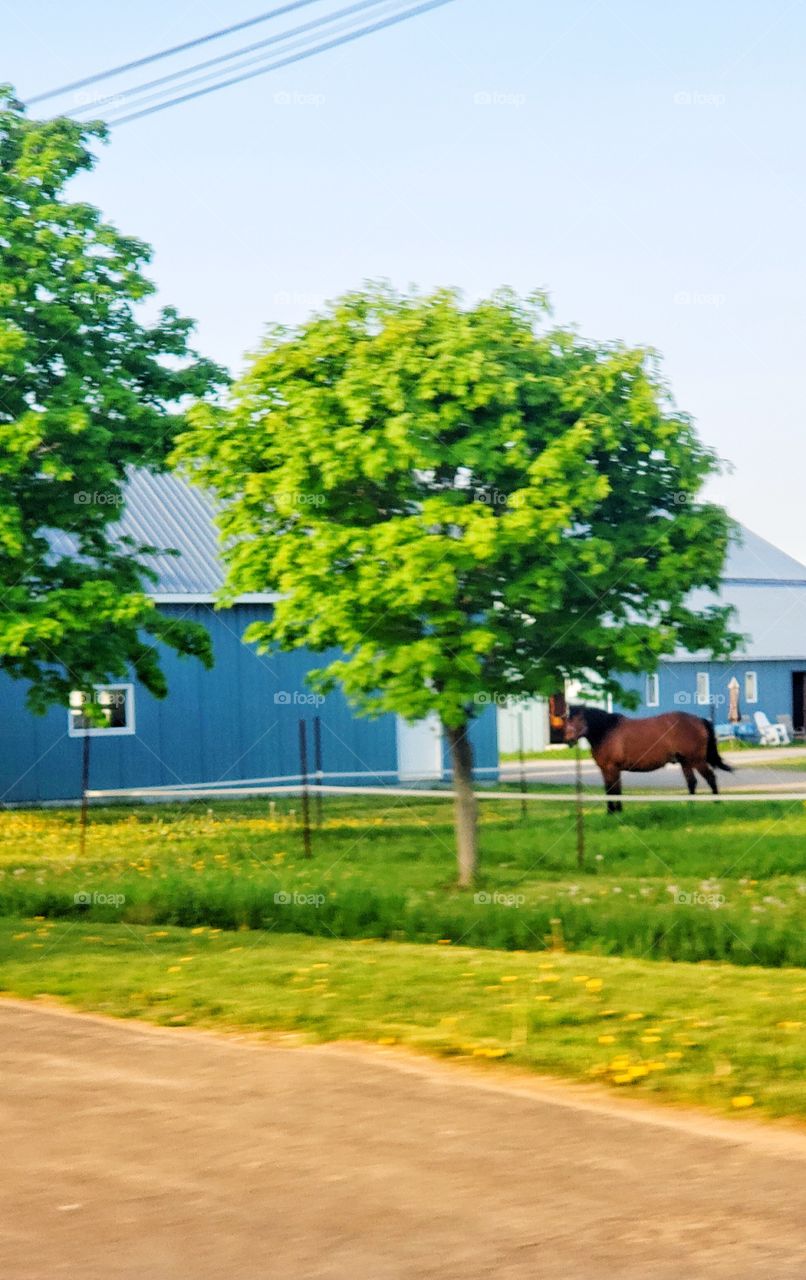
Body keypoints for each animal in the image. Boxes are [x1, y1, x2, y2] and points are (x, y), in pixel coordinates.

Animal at [564, 705, 733, 813]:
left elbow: (614, 790)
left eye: (580, 719)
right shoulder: (606, 769)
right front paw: (613, 812)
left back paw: (717, 804)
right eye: (568, 719)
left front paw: (614, 812)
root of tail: (699, 720)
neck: (606, 730)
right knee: (692, 782)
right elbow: (611, 789)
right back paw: (691, 806)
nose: (568, 739)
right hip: (685, 762)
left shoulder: (612, 768)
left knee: (710, 778)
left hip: (697, 760)